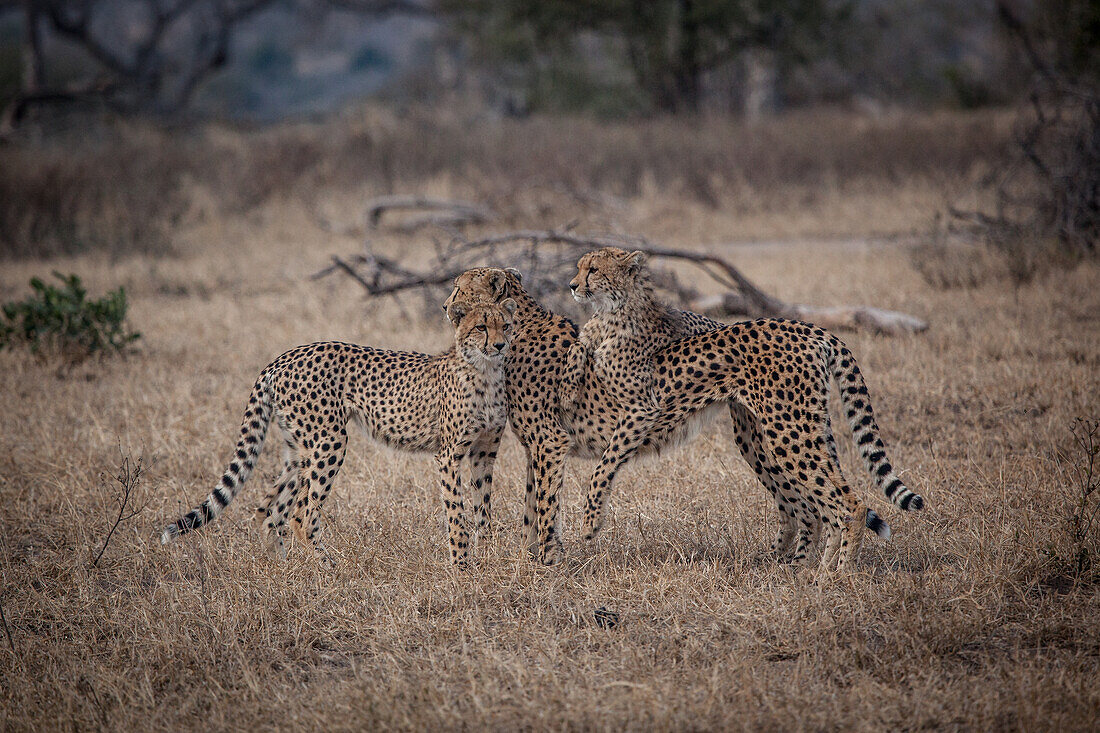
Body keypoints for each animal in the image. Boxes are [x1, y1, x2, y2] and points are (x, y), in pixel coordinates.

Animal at [159, 297, 514, 563]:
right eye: (481, 327)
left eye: (506, 325)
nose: (500, 345)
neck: (486, 371)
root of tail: (281, 358)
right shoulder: (449, 455)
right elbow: (457, 512)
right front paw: (462, 566)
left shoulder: (484, 451)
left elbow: (484, 508)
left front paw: (488, 558)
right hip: (330, 440)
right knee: (300, 514)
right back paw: (327, 568)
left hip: (298, 449)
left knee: (271, 511)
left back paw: (284, 569)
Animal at [563, 246, 924, 572]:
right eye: (580, 267)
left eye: (593, 269)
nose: (571, 285)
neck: (612, 312)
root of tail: (811, 328)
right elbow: (577, 350)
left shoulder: (642, 409)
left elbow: (603, 466)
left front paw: (590, 521)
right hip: (767, 437)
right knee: (812, 506)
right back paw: (800, 567)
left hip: (789, 432)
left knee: (845, 505)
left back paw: (833, 576)